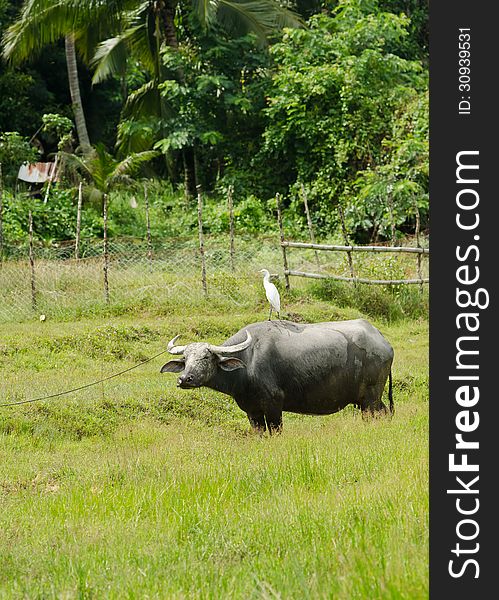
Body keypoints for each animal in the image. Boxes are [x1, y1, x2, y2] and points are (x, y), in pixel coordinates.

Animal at [160, 322, 394, 434]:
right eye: (185, 358)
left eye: (206, 357)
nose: (185, 379)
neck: (248, 362)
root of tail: (383, 342)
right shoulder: (252, 411)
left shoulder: (274, 406)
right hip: (368, 399)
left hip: (371, 398)